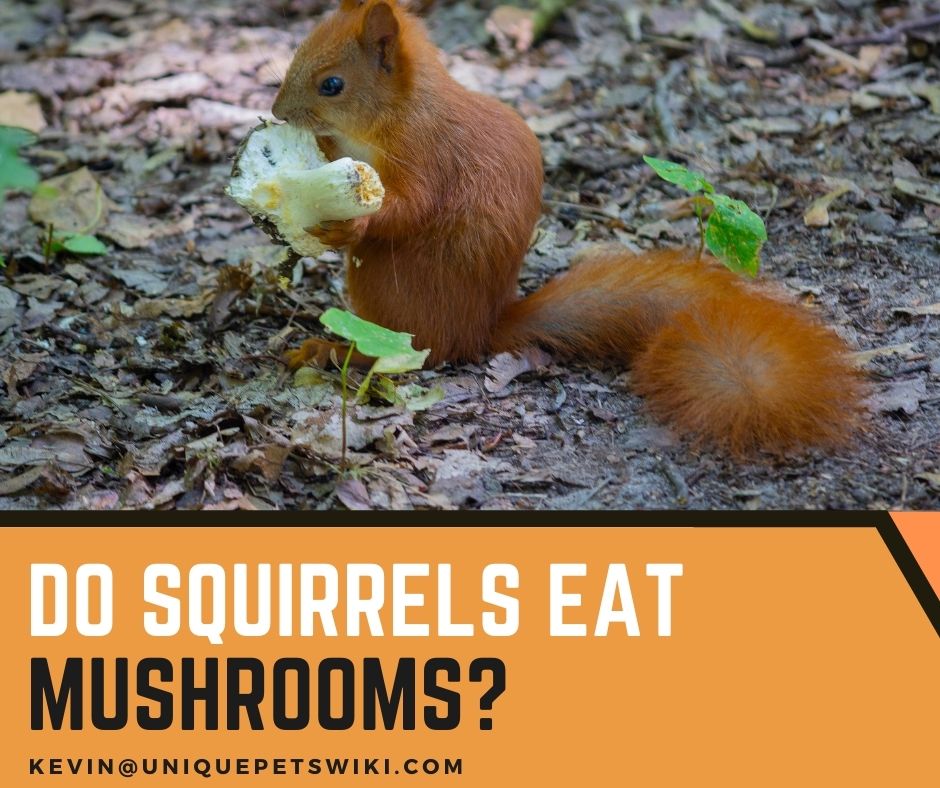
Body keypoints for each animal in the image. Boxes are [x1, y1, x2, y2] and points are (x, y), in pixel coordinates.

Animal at [271, 0, 864, 456]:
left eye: (332, 85)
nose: (276, 113)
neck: (397, 112)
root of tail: (478, 332)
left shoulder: (426, 154)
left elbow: (411, 208)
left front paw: (349, 224)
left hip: (389, 295)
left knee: (396, 354)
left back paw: (331, 349)